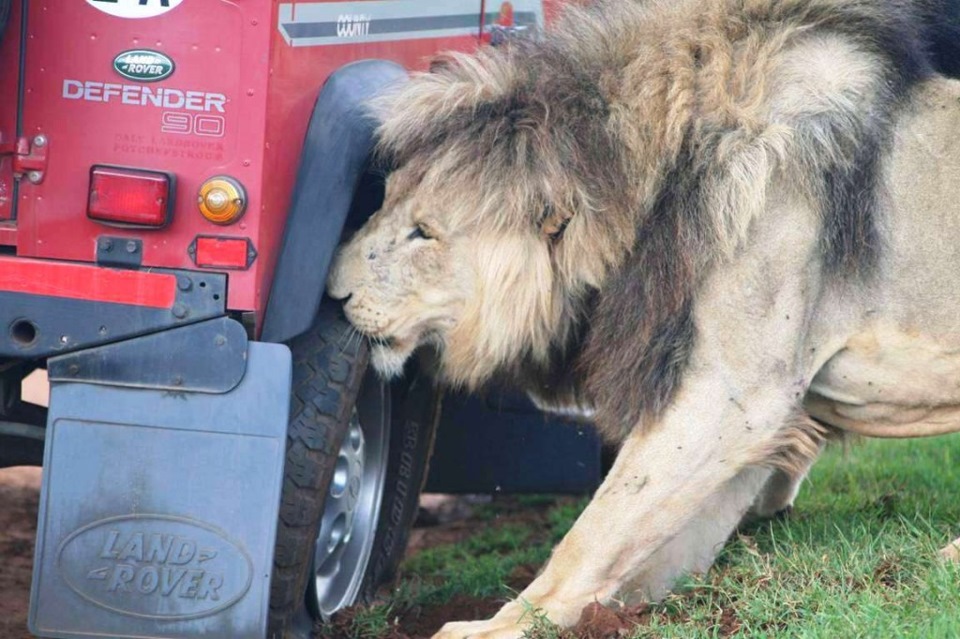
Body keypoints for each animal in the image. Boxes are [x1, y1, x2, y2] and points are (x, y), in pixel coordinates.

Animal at [326, 2, 960, 636]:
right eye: (384, 199)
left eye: (423, 233)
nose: (332, 290)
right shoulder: (761, 418)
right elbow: (649, 545)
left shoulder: (735, 395)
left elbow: (593, 532)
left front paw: (497, 625)